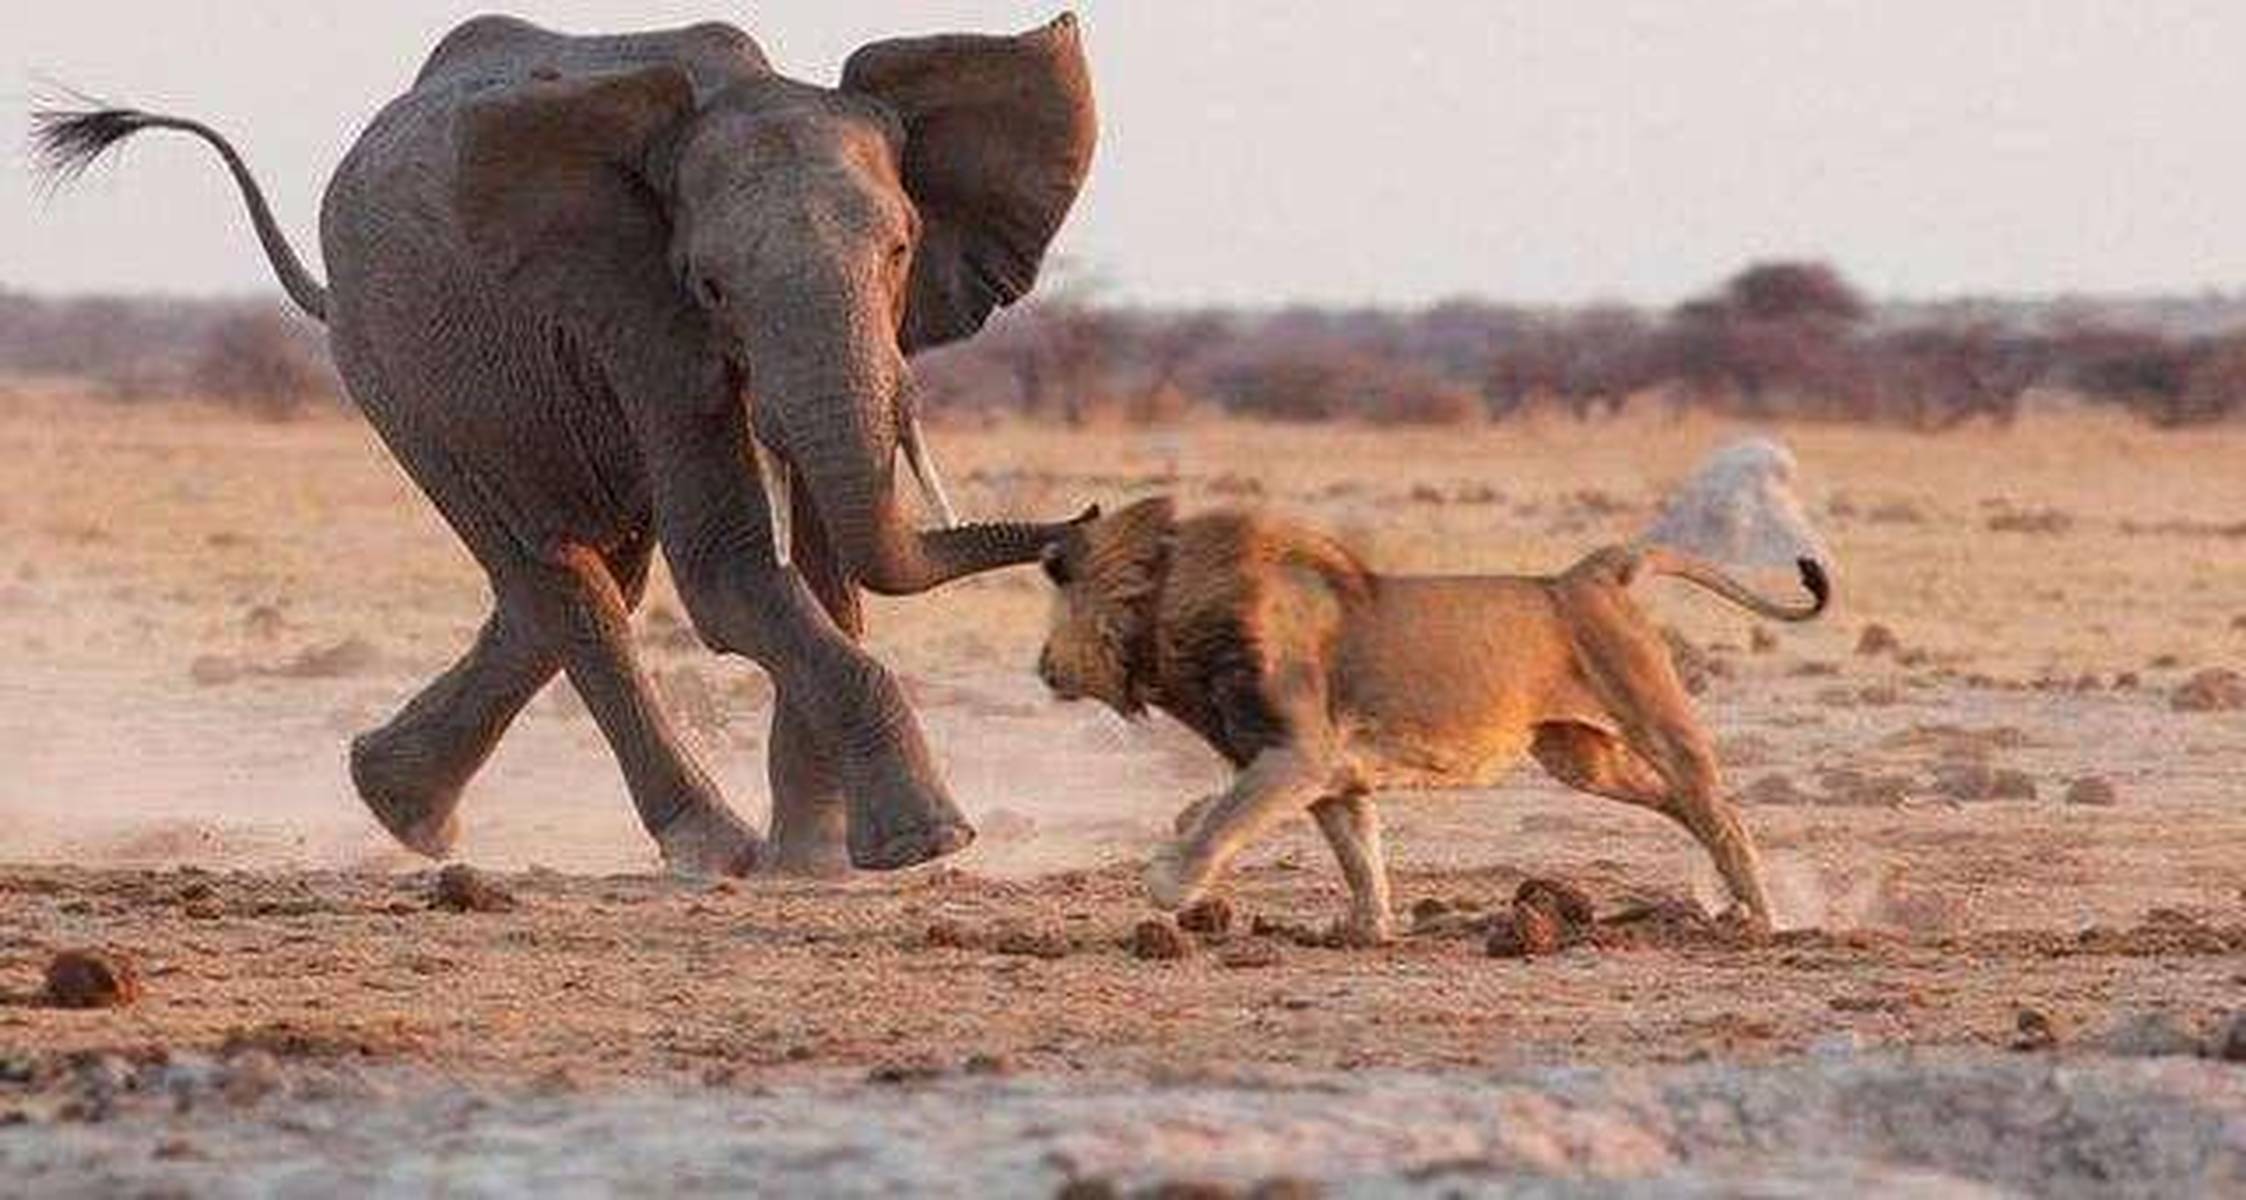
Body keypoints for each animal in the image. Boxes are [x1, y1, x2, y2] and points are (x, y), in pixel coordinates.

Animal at [34, 14, 1098, 875]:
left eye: (901, 250)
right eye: (709, 285)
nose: (1083, 518)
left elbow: (827, 568)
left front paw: (822, 862)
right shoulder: (641, 322)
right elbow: (731, 575)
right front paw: (926, 844)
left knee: (584, 574)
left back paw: (398, 806)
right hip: (395, 374)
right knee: (563, 579)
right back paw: (706, 849)